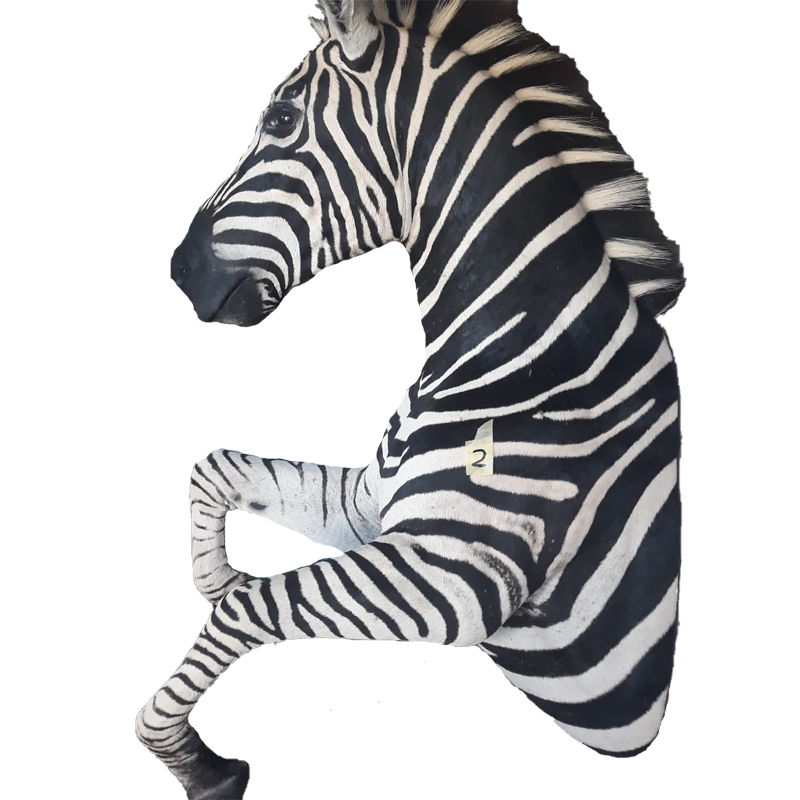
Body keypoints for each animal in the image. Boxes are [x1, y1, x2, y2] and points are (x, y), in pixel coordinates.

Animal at [138, 1, 686, 796]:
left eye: (279, 119)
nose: (179, 271)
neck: (533, 353)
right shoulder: (371, 504)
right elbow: (217, 469)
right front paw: (213, 573)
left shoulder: (452, 576)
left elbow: (255, 605)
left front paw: (186, 755)